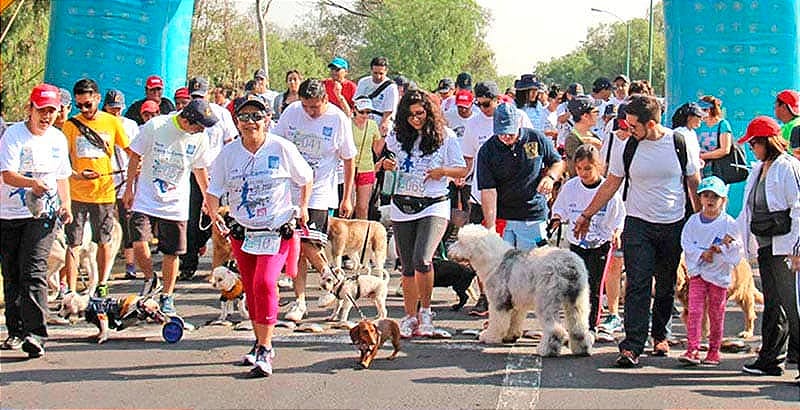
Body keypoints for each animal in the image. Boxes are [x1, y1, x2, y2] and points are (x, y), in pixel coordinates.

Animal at [450, 224, 592, 356]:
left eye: (460, 241)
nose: (449, 249)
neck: (495, 260)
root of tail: (569, 265)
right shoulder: (516, 303)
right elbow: (513, 320)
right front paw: (510, 336)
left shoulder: (498, 301)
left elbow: (497, 321)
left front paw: (489, 336)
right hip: (577, 299)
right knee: (579, 327)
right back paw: (581, 350)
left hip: (546, 299)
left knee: (555, 329)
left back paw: (545, 350)